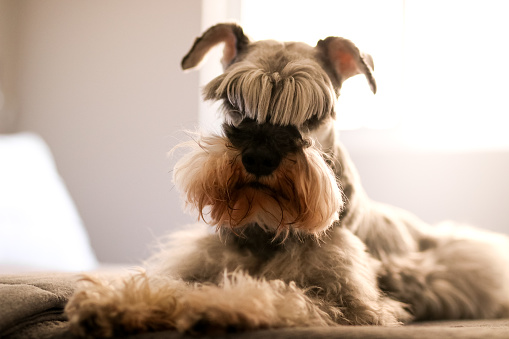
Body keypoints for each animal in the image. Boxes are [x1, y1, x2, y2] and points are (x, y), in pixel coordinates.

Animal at [64, 23, 508, 338]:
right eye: (233, 101)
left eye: (313, 113)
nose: (259, 158)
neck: (264, 227)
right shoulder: (195, 266)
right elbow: (173, 284)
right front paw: (116, 302)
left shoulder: (352, 304)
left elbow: (285, 294)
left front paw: (220, 305)